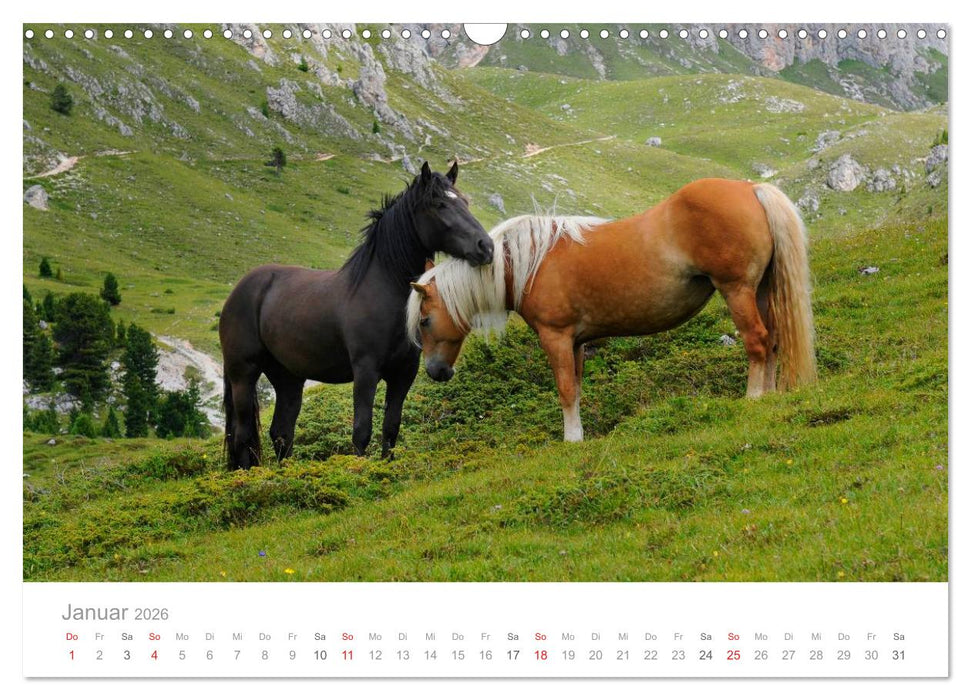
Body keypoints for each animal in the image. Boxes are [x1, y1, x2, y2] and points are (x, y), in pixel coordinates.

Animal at [220, 162, 493, 468]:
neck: (382, 288)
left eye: (465, 201)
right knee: (243, 435)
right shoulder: (365, 370)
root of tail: (239, 291)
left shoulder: (403, 373)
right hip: (243, 374)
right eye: (440, 204)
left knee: (281, 433)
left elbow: (391, 428)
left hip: (287, 378)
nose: (486, 247)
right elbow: (362, 431)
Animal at [407, 178, 816, 442]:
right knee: (773, 340)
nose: (436, 372)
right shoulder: (575, 343)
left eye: (425, 321)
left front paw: (571, 440)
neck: (530, 263)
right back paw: (771, 395)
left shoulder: (556, 338)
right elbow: (576, 388)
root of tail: (751, 189)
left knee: (757, 341)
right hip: (760, 290)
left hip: (737, 290)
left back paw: (754, 397)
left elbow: (565, 389)